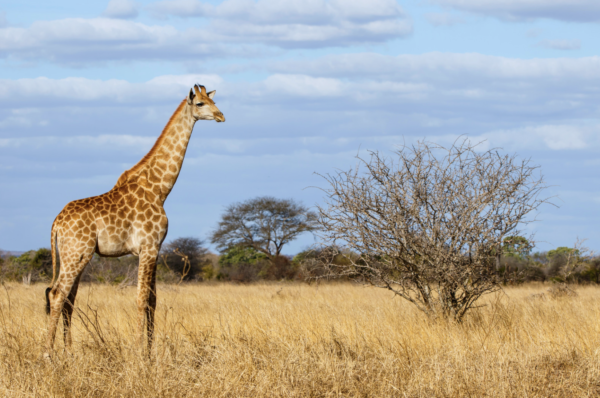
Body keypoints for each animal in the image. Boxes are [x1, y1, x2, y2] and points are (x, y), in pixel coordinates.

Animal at [43, 83, 224, 354]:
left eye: (213, 101)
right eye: (200, 103)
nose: (221, 116)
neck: (159, 189)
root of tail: (56, 222)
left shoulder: (155, 248)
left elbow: (153, 299)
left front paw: (150, 349)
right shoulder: (148, 246)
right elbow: (141, 299)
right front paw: (141, 352)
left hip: (73, 255)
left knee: (68, 298)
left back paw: (69, 351)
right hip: (77, 253)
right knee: (56, 295)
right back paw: (48, 353)